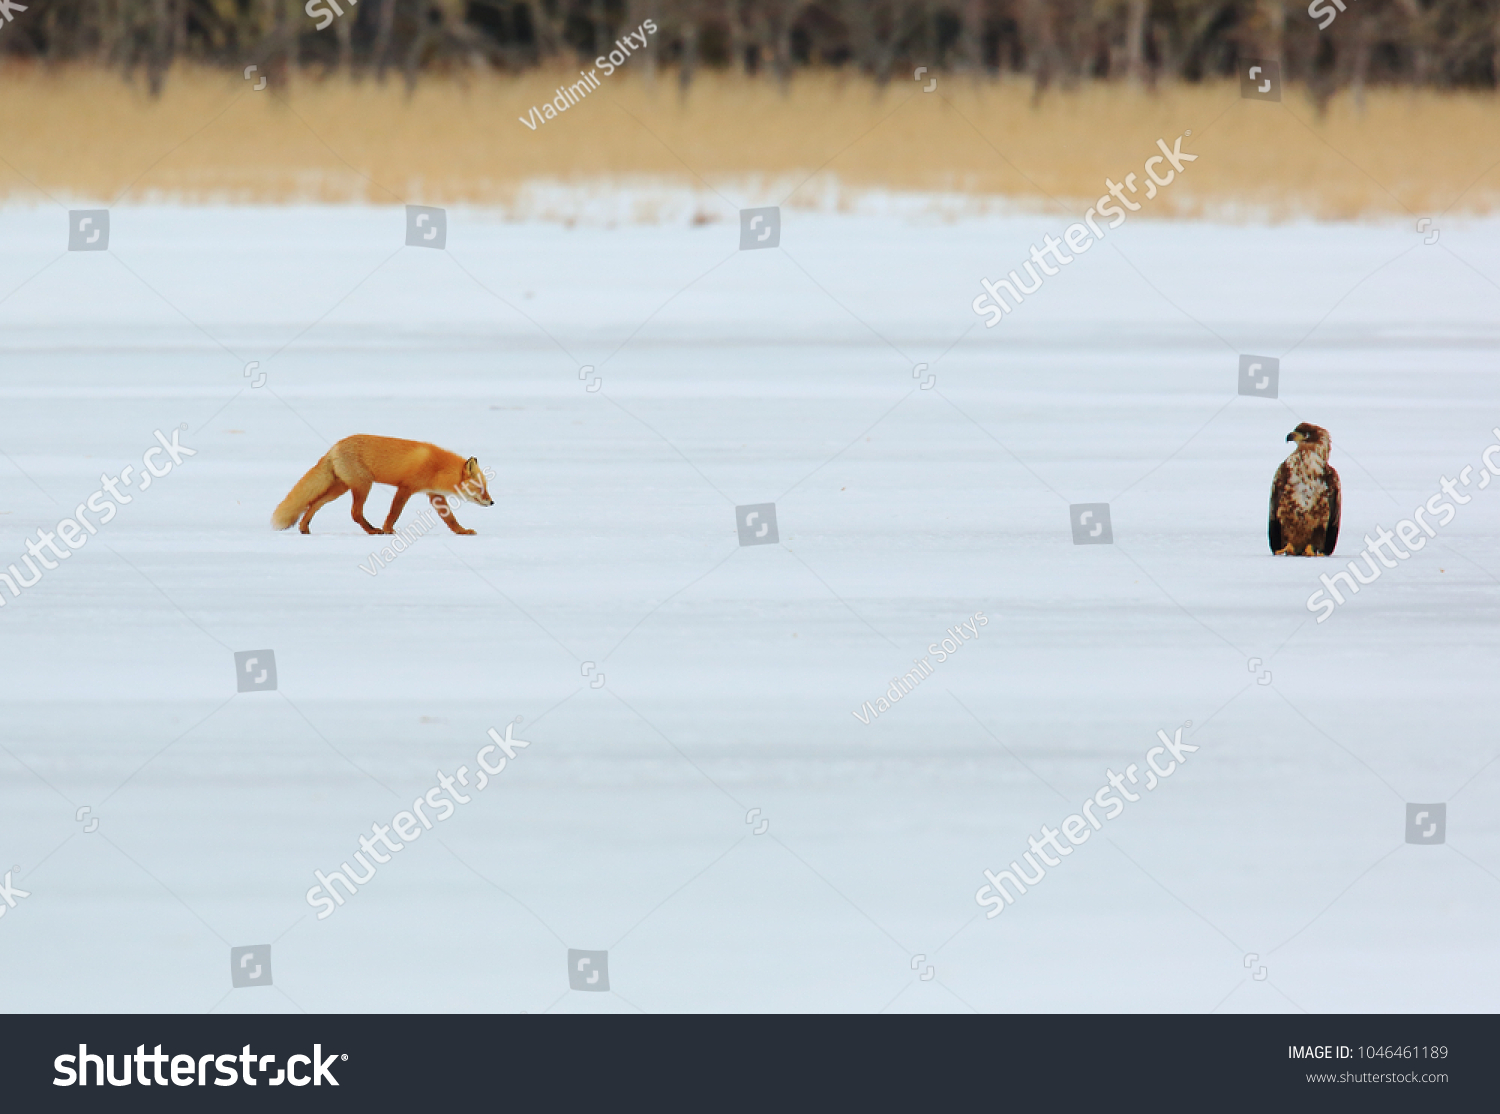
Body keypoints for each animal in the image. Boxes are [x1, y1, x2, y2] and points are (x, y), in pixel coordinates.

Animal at [272, 435, 494, 535]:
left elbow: (451, 519)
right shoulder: (406, 488)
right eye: (481, 488)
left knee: (314, 503)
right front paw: (388, 530)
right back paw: (373, 531)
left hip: (340, 489)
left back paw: (304, 528)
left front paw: (462, 532)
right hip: (363, 485)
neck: (438, 469)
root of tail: (335, 446)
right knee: (354, 513)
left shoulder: (434, 495)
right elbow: (394, 512)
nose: (492, 502)